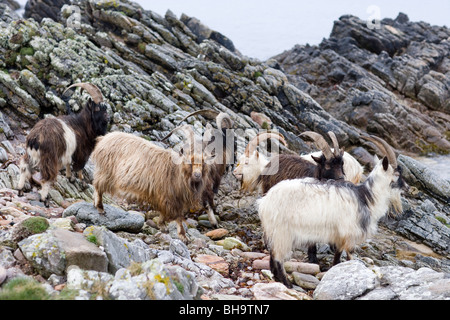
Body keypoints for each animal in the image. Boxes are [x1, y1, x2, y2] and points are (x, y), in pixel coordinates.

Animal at [256, 135, 408, 288]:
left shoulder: (339, 235)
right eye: (397, 174)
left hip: (275, 231)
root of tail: (265, 202)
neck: (367, 197)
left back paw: (278, 278)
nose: (406, 187)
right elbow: (342, 255)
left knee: (273, 255)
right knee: (277, 257)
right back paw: (286, 283)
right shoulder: (347, 233)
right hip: (282, 232)